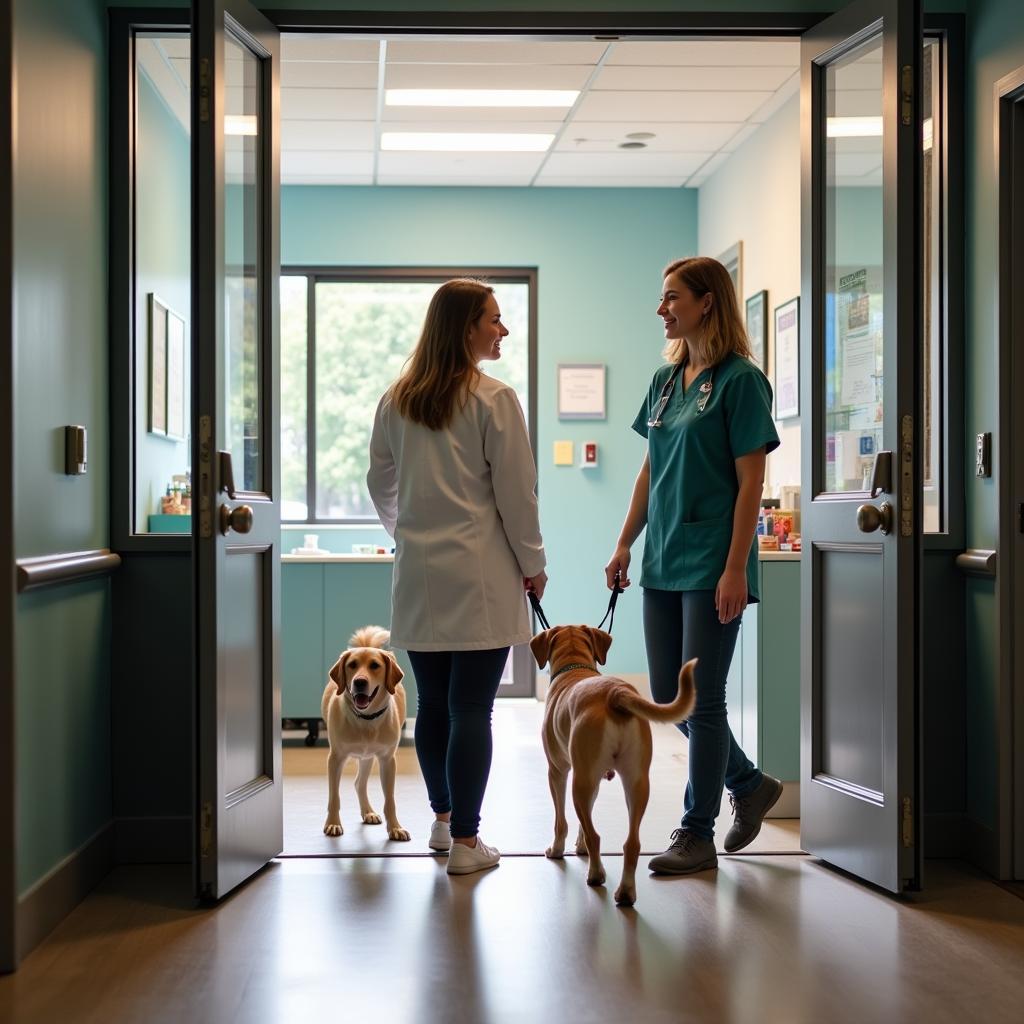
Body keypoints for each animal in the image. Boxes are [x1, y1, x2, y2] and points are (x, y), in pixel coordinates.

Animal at [323, 622, 411, 839]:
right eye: (352, 665)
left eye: (375, 666)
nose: (360, 682)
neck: (366, 720)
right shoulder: (335, 759)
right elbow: (334, 797)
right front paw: (333, 823)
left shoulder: (388, 761)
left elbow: (390, 800)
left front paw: (395, 827)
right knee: (358, 783)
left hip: (368, 757)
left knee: (359, 783)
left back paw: (368, 812)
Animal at [528, 622, 696, 905]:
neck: (574, 666)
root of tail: (614, 694)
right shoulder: (594, 779)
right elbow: (585, 819)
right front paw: (580, 846)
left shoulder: (558, 771)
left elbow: (562, 820)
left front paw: (557, 848)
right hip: (635, 781)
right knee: (631, 843)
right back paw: (626, 890)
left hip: (580, 782)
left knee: (596, 836)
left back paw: (596, 874)